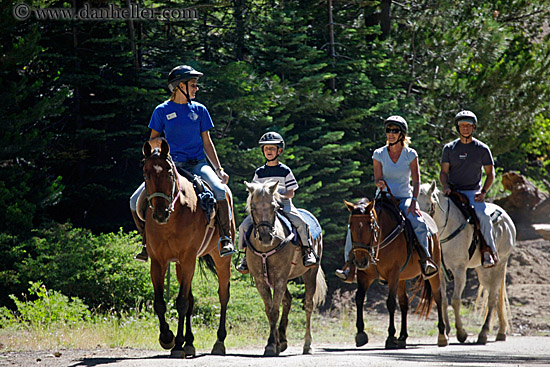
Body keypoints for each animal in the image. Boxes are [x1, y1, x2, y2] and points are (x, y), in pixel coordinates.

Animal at [142, 139, 235, 358]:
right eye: (146, 174)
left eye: (169, 173)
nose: (160, 213)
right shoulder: (158, 262)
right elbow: (161, 303)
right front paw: (167, 337)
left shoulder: (188, 259)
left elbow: (182, 303)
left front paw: (176, 345)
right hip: (179, 265)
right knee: (191, 299)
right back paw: (190, 342)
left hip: (220, 259)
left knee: (223, 295)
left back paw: (219, 342)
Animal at [245, 181, 328, 356]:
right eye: (253, 207)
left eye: (274, 207)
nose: (266, 236)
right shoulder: (261, 281)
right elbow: (269, 310)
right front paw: (275, 343)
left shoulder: (280, 279)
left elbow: (274, 311)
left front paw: (271, 345)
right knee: (288, 300)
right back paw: (282, 340)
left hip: (310, 272)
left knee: (308, 305)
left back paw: (307, 344)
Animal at [348, 197, 450, 350]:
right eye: (350, 226)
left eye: (370, 226)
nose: (360, 261)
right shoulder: (364, 275)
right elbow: (359, 298)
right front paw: (360, 333)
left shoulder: (393, 274)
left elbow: (390, 302)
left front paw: (390, 336)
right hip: (402, 278)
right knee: (404, 303)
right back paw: (402, 337)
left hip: (433, 272)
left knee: (438, 297)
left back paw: (442, 335)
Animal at [422, 183, 516, 346]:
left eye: (429, 208)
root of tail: (506, 217)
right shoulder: (440, 271)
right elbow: (444, 300)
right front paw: (446, 331)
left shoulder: (459, 270)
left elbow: (455, 301)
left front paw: (461, 333)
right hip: (483, 271)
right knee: (497, 297)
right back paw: (501, 332)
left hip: (500, 264)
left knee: (492, 298)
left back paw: (483, 334)